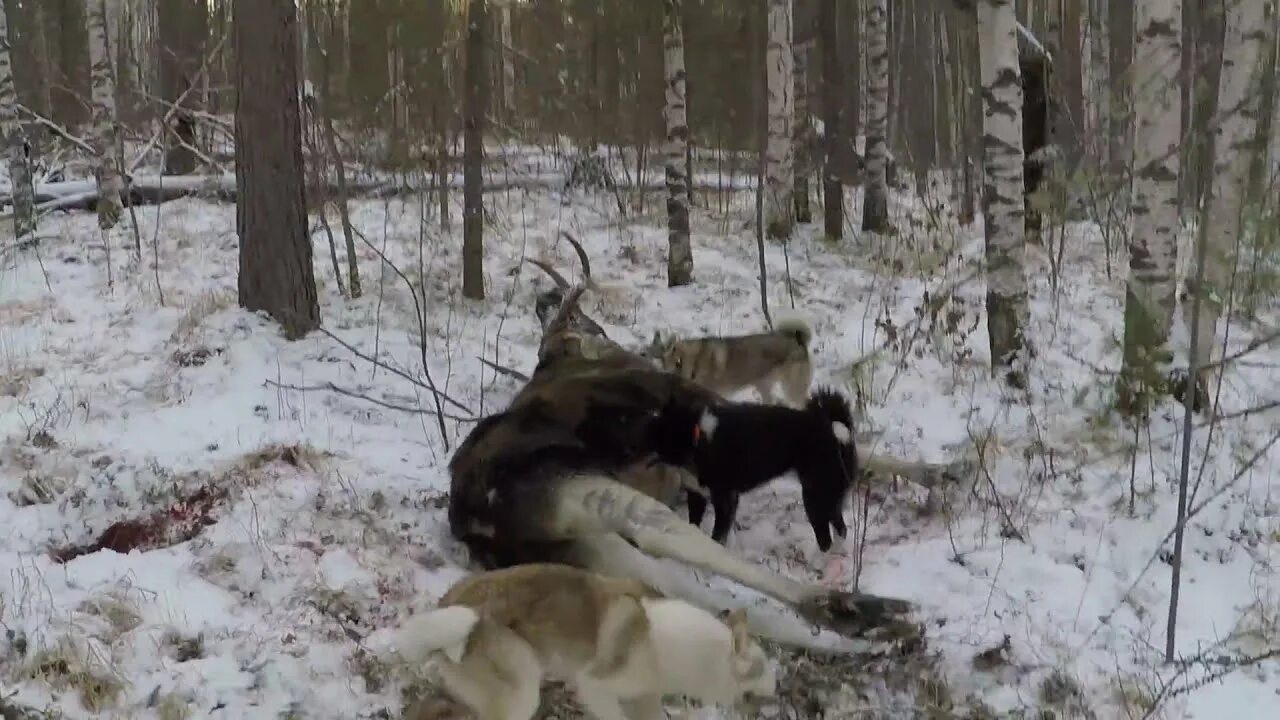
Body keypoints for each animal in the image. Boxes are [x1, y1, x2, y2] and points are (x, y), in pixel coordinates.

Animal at [373, 563, 773, 712]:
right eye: (763, 668)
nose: (777, 687)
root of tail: (452, 604)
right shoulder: (596, 687)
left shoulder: (644, 699)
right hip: (523, 692)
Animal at [650, 386, 860, 548]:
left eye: (656, 430)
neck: (699, 439)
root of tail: (835, 430)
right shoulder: (697, 495)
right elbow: (693, 523)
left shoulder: (726, 499)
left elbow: (718, 536)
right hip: (828, 497)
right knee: (841, 529)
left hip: (815, 496)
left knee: (826, 538)